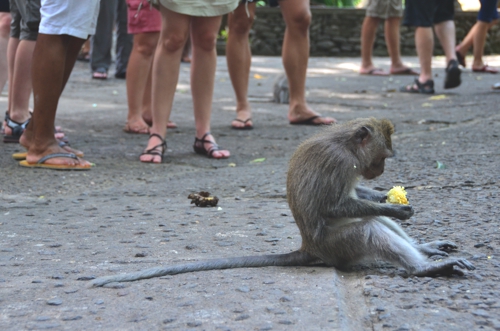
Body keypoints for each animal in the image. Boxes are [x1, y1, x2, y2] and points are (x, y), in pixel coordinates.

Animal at [91, 117, 476, 288]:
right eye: (383, 156)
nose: (379, 170)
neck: (347, 144)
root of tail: (309, 248)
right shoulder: (340, 162)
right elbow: (334, 206)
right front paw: (394, 206)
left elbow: (357, 198)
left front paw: (384, 197)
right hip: (338, 247)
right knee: (367, 229)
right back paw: (423, 268)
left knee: (373, 224)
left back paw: (425, 250)